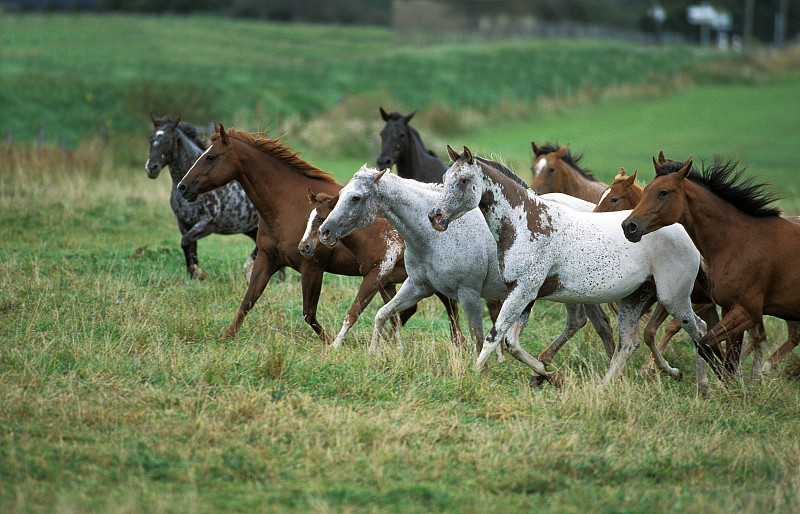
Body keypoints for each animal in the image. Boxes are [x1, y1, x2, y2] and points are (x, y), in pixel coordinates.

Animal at [147, 114, 266, 280]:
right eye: (151, 139)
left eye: (169, 140)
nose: (151, 168)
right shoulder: (184, 224)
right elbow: (190, 249)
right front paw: (194, 276)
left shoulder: (207, 223)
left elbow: (185, 242)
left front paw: (198, 273)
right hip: (248, 227)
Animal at [620, 154, 800, 374]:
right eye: (645, 190)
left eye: (663, 192)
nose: (629, 226)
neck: (740, 241)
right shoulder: (728, 309)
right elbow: (724, 356)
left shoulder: (746, 312)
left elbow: (705, 345)